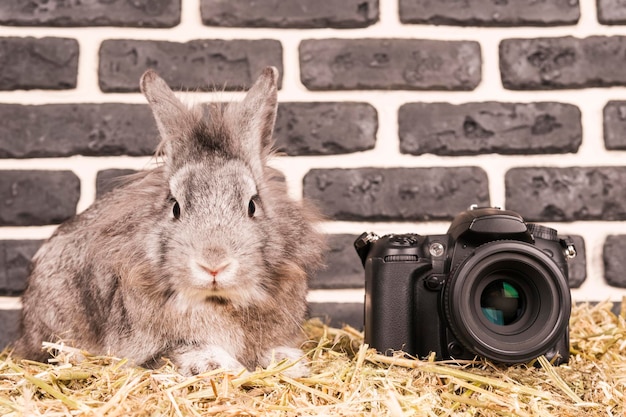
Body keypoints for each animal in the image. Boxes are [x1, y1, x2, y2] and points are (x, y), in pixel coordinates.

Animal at [14, 66, 324, 376]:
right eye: (175, 207)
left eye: (252, 205)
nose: (213, 264)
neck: (218, 301)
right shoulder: (150, 349)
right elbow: (190, 352)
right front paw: (223, 366)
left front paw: (291, 364)